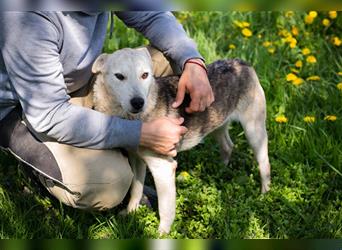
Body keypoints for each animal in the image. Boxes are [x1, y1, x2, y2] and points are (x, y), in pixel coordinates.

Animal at [91, 47, 272, 234]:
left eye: (145, 75)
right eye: (119, 76)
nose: (138, 102)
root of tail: (240, 63)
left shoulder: (163, 168)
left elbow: (166, 209)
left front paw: (161, 234)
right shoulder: (136, 159)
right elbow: (136, 189)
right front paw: (130, 212)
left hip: (254, 130)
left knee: (264, 163)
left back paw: (264, 195)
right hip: (217, 123)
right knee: (228, 146)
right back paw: (221, 170)